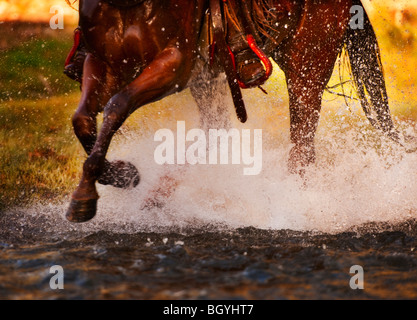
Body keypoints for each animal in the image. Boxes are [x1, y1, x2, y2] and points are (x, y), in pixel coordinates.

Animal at [66, 0, 396, 222]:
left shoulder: (173, 65)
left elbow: (117, 105)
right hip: (207, 77)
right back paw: (161, 195)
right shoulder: (101, 62)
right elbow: (82, 119)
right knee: (216, 131)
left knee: (301, 148)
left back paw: (291, 205)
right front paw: (121, 175)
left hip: (308, 63)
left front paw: (85, 197)